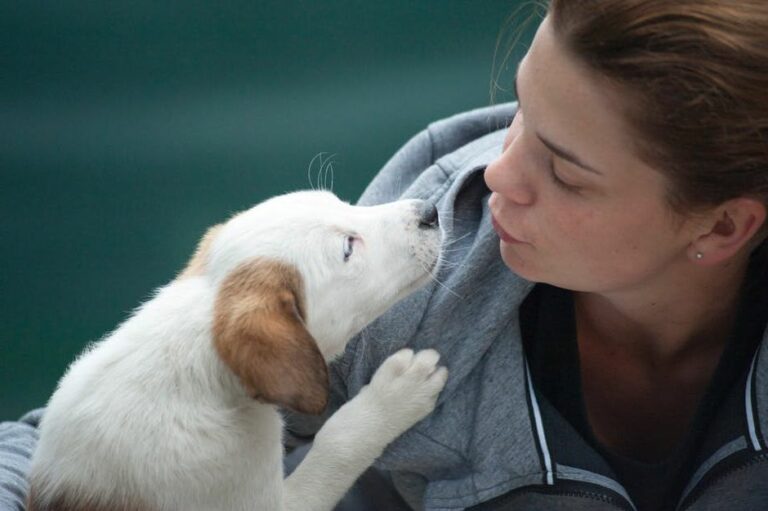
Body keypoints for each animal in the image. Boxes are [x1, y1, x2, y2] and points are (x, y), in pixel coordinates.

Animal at [27, 191, 448, 511]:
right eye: (348, 248)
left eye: (342, 202)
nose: (430, 210)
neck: (199, 370)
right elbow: (338, 442)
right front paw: (396, 395)